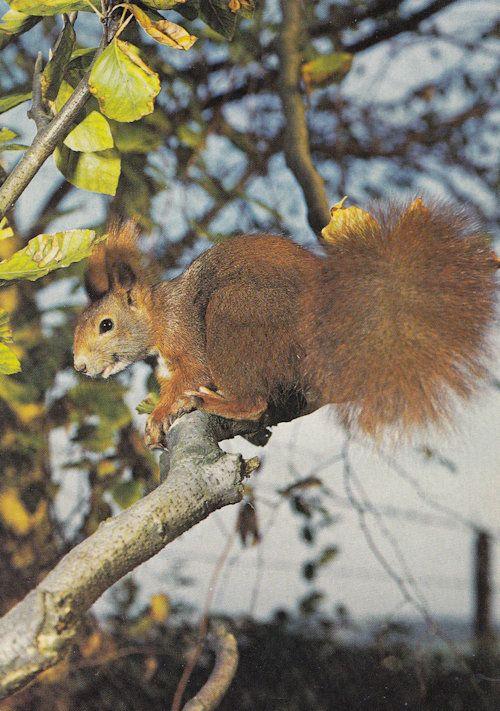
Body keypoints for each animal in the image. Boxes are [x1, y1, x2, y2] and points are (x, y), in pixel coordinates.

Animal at [72, 197, 498, 448]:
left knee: (255, 402)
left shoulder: (187, 338)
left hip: (234, 315)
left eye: (106, 325)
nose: (79, 365)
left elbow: (191, 375)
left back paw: (218, 402)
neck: (160, 316)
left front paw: (161, 414)